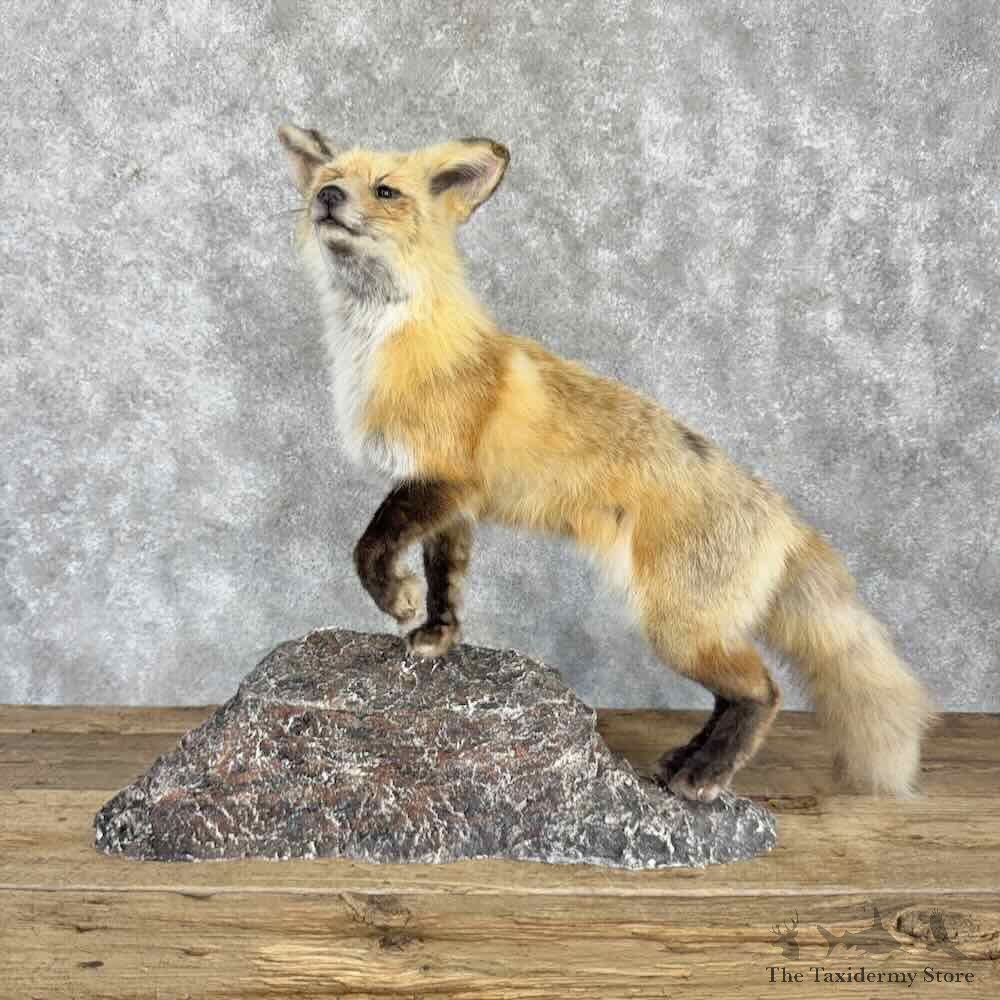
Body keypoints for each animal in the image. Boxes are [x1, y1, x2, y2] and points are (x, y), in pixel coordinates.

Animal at [276, 124, 935, 803]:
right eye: (328, 178)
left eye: (385, 191)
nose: (326, 197)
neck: (381, 346)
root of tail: (779, 512)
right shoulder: (451, 499)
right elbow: (447, 578)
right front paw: (438, 634)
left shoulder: (439, 478)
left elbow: (370, 546)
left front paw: (397, 600)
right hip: (696, 630)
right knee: (735, 695)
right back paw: (684, 760)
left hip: (676, 628)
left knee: (763, 691)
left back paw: (704, 775)